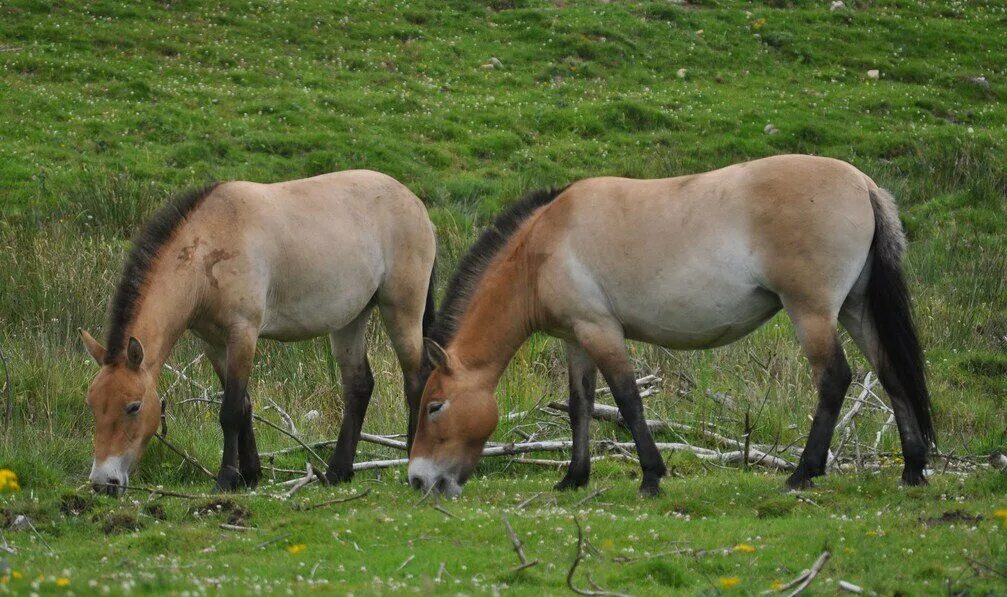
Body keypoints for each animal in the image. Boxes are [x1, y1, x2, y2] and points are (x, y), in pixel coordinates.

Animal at [80, 169, 435, 493]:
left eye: (133, 407)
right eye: (93, 405)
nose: (103, 482)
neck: (209, 247)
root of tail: (415, 203)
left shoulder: (243, 334)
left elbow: (230, 410)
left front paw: (226, 479)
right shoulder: (213, 343)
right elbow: (244, 405)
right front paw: (250, 474)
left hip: (401, 311)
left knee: (416, 380)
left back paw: (413, 461)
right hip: (350, 320)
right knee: (359, 386)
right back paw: (338, 472)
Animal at [404, 152, 930, 493]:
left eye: (434, 406)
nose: (418, 479)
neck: (545, 245)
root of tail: (863, 184)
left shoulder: (600, 331)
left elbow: (627, 400)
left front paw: (652, 476)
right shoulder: (577, 340)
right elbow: (580, 406)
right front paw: (574, 478)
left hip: (812, 312)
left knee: (835, 379)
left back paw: (803, 473)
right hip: (855, 309)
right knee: (891, 375)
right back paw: (912, 470)